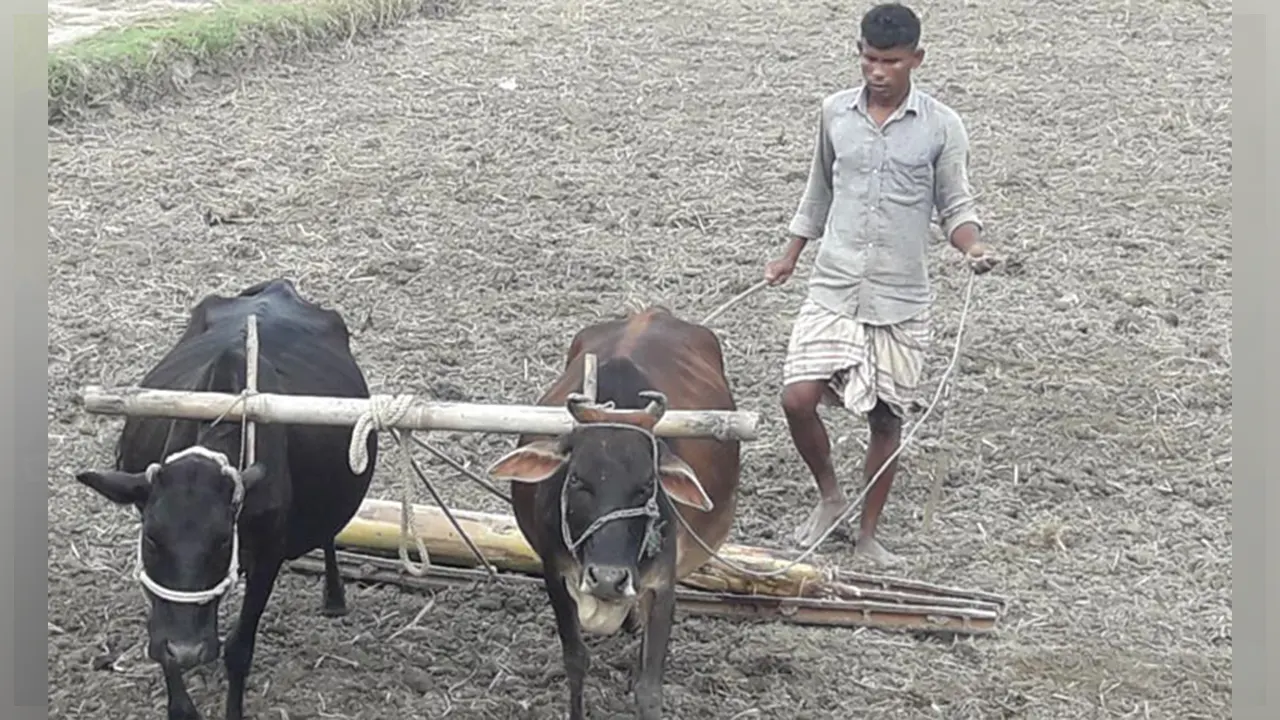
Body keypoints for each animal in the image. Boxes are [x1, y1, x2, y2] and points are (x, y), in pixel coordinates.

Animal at [72, 278, 379, 720]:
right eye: (152, 539)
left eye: (221, 540)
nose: (188, 649)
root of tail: (278, 287)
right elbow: (160, 639)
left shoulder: (269, 553)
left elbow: (239, 649)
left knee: (327, 533)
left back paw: (334, 597)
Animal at [486, 306, 742, 720]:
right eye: (576, 479)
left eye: (647, 485)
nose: (608, 579)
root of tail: (651, 311)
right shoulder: (556, 575)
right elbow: (576, 660)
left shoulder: (663, 585)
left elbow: (649, 687)